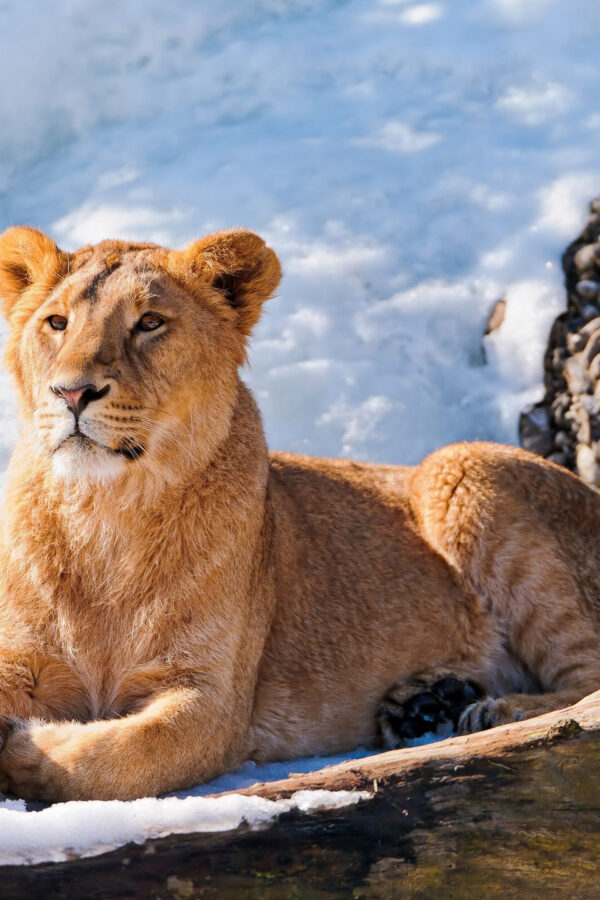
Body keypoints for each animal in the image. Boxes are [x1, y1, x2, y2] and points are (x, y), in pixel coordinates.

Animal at [0, 225, 598, 802]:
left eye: (149, 322)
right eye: (57, 322)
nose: (71, 393)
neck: (103, 511)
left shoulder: (213, 701)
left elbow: (120, 759)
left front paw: (26, 748)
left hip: (459, 466)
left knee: (585, 683)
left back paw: (490, 711)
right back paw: (427, 704)